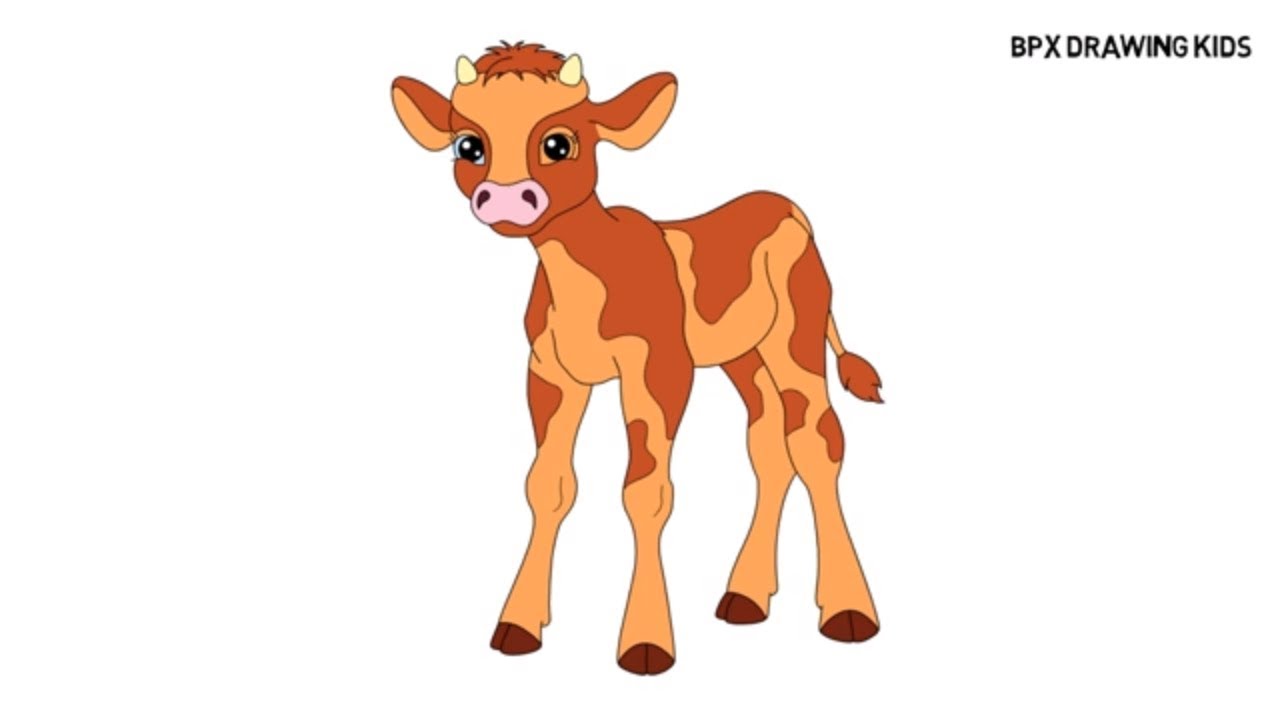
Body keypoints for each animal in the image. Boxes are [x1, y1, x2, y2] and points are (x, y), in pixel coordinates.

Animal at [390, 41, 884, 675]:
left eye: (560, 143)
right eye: (469, 145)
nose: (502, 197)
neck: (588, 274)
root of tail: (788, 207)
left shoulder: (658, 369)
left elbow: (645, 491)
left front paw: (646, 642)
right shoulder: (550, 372)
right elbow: (547, 484)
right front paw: (519, 624)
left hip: (796, 337)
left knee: (816, 441)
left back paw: (848, 611)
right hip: (742, 358)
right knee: (769, 444)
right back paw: (746, 596)